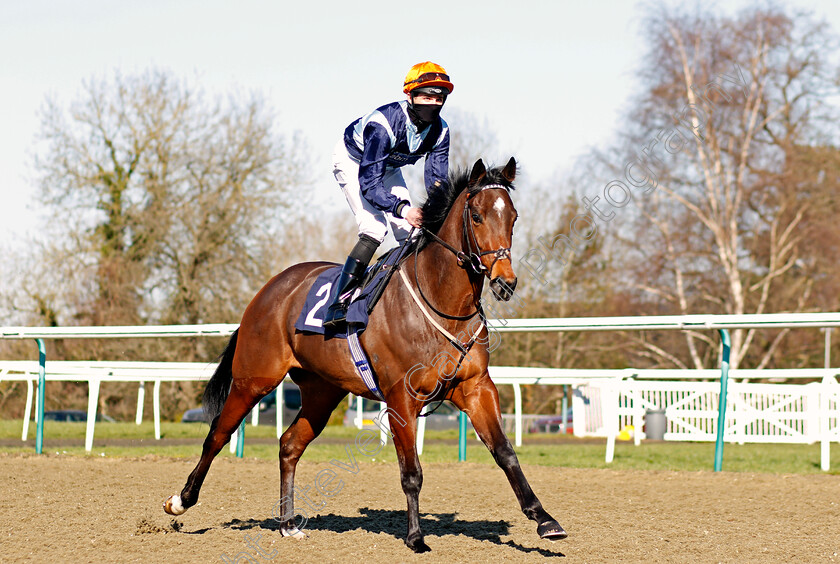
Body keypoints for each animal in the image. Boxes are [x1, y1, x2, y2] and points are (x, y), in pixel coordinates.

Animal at [164, 156, 568, 552]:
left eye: (513, 216)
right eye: (478, 216)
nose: (505, 281)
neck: (442, 302)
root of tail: (268, 290)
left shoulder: (476, 388)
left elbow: (505, 453)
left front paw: (545, 519)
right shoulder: (401, 396)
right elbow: (411, 472)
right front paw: (416, 537)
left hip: (322, 392)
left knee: (289, 444)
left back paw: (288, 524)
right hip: (254, 378)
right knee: (217, 435)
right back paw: (180, 501)